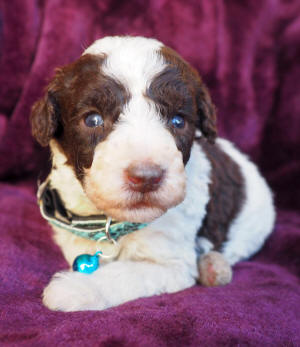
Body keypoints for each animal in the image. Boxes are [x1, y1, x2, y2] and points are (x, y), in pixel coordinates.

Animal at [29, 36, 274, 312]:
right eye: (93, 120)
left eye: (178, 121)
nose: (146, 178)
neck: (112, 221)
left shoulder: (172, 263)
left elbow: (124, 273)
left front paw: (74, 288)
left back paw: (213, 266)